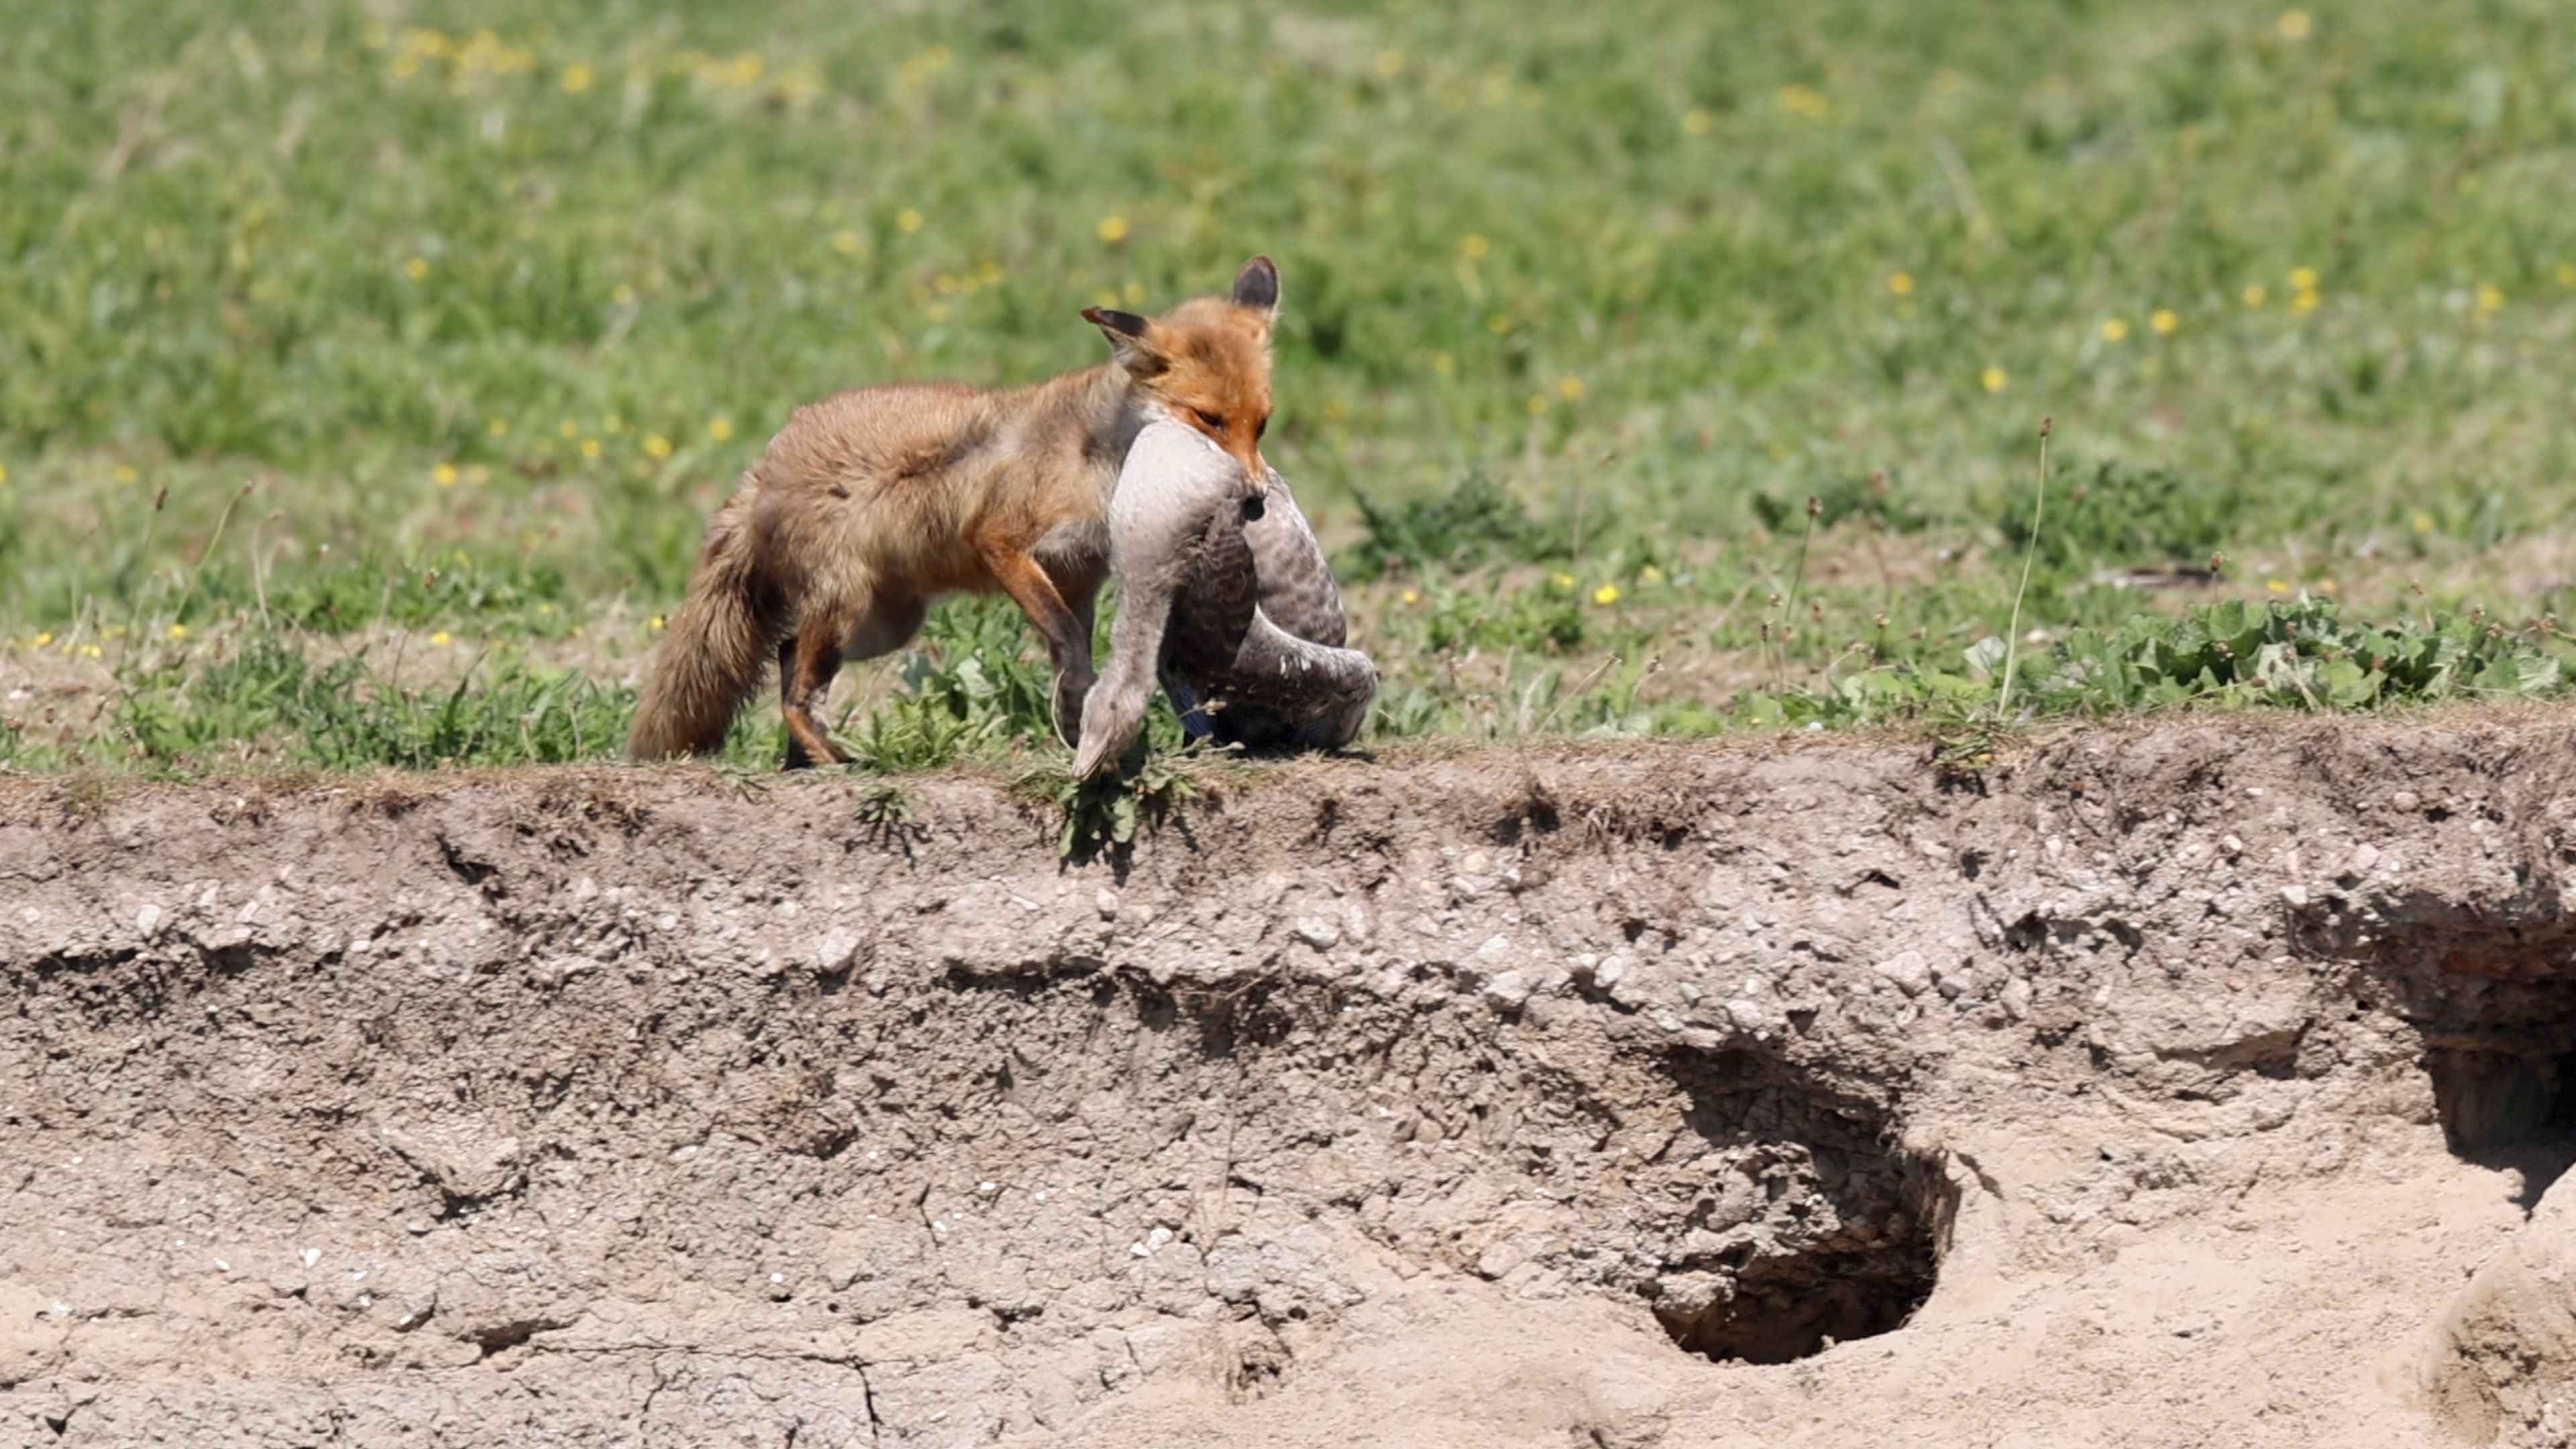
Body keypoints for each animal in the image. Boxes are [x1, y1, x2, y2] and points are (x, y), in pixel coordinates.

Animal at [627, 256, 1282, 767]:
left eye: (1261, 424)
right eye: (1208, 419)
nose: (1255, 500)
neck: (1098, 463)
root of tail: (764, 463)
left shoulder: (1078, 578)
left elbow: (1070, 652)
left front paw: (1076, 723)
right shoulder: (1002, 542)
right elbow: (1068, 640)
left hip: (885, 623)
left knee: (790, 660)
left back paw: (803, 763)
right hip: (845, 603)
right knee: (794, 693)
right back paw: (837, 760)